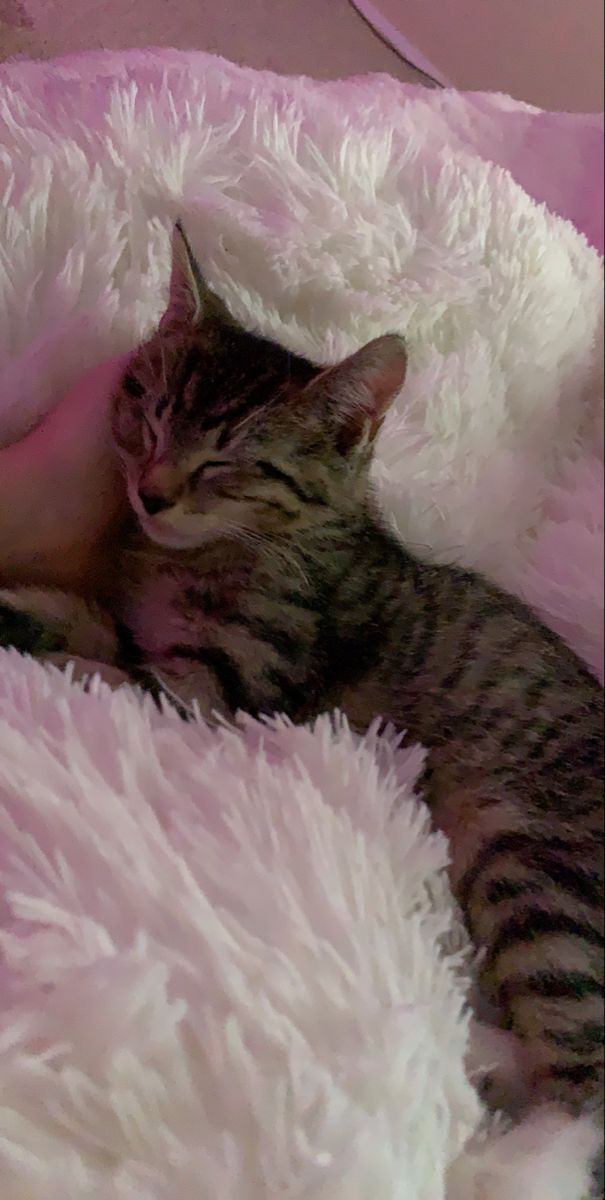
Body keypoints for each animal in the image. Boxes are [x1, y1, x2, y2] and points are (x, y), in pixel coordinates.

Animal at [2, 223, 602, 1123]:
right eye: (148, 410)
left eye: (227, 464)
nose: (151, 491)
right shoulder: (140, 633)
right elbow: (92, 627)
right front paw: (25, 611)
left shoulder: (218, 691)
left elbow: (104, 673)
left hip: (535, 861)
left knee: (578, 1089)